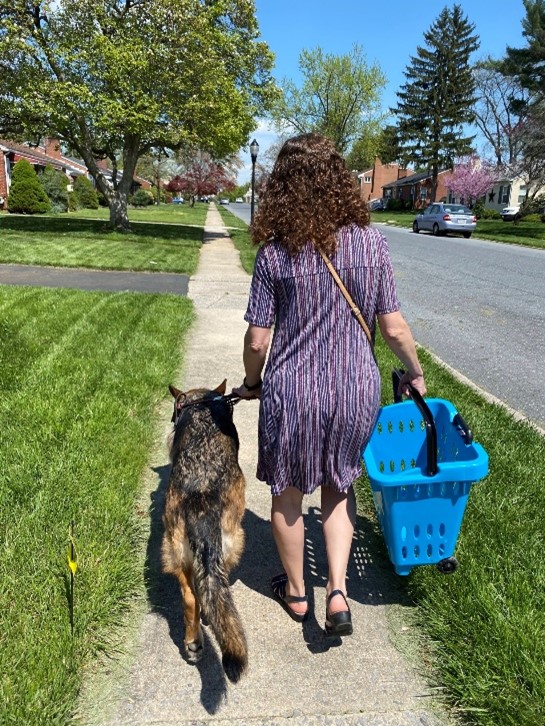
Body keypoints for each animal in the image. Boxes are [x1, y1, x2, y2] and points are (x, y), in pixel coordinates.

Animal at [160, 384, 248, 684]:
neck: (201, 404)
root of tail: (201, 499)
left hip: (177, 551)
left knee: (191, 597)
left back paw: (194, 642)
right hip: (233, 543)